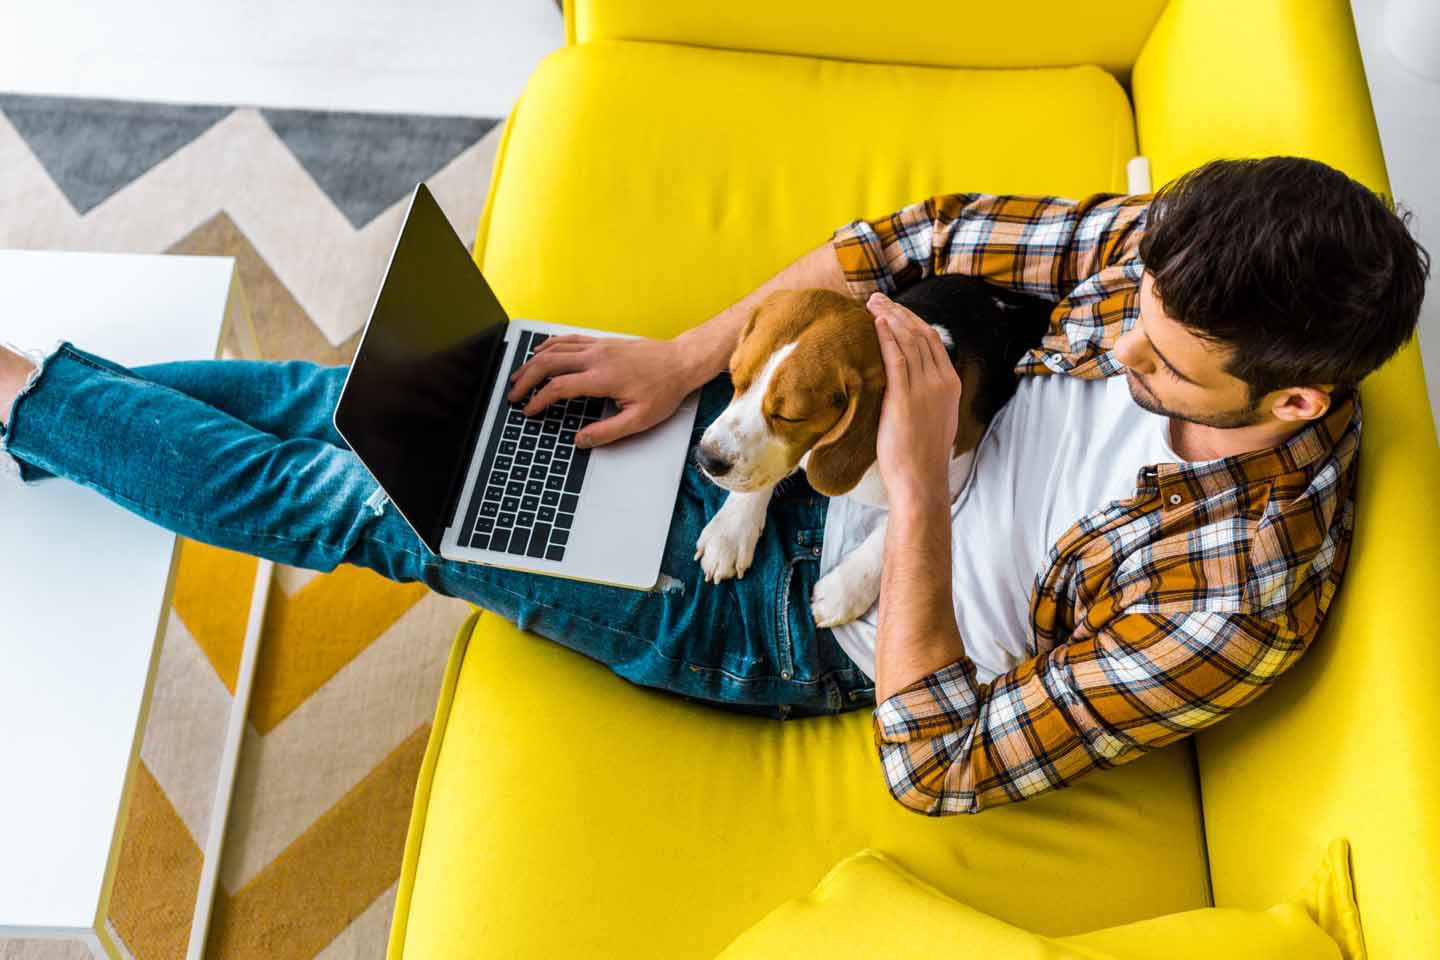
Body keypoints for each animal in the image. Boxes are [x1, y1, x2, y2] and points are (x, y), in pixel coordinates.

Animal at [694, 273, 1048, 627]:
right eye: (735, 379)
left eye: (790, 417)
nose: (706, 458)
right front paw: (730, 529)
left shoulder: (951, 477)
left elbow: (889, 531)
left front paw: (844, 590)